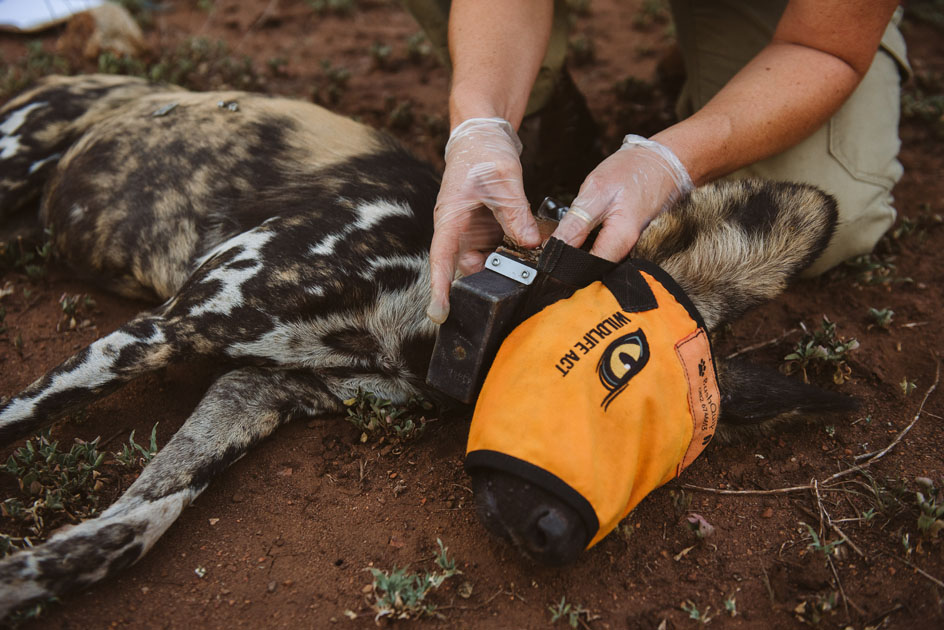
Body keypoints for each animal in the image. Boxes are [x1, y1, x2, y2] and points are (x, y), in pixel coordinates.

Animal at [0, 73, 852, 616]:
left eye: (654, 465)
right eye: (606, 382)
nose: (559, 541)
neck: (414, 321)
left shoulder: (252, 389)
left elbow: (131, 528)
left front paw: (26, 577)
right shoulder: (174, 326)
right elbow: (20, 421)